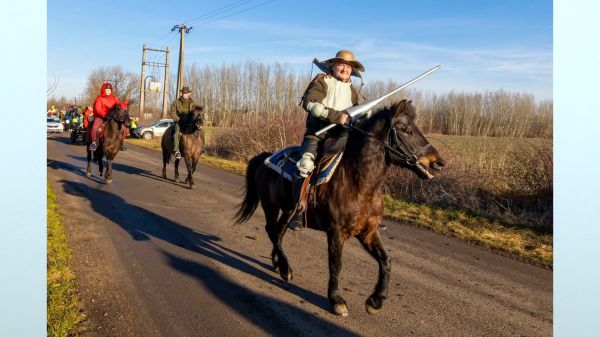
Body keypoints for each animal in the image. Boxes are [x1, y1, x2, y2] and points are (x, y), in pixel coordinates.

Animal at [234, 99, 446, 316]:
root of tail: (265, 157)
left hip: (287, 211)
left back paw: (279, 264)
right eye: (407, 130)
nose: (438, 162)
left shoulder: (368, 232)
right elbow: (336, 264)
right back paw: (286, 269)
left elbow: (386, 261)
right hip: (271, 206)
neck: (359, 183)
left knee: (279, 231)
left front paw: (375, 301)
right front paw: (336, 300)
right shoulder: (336, 232)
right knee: (271, 230)